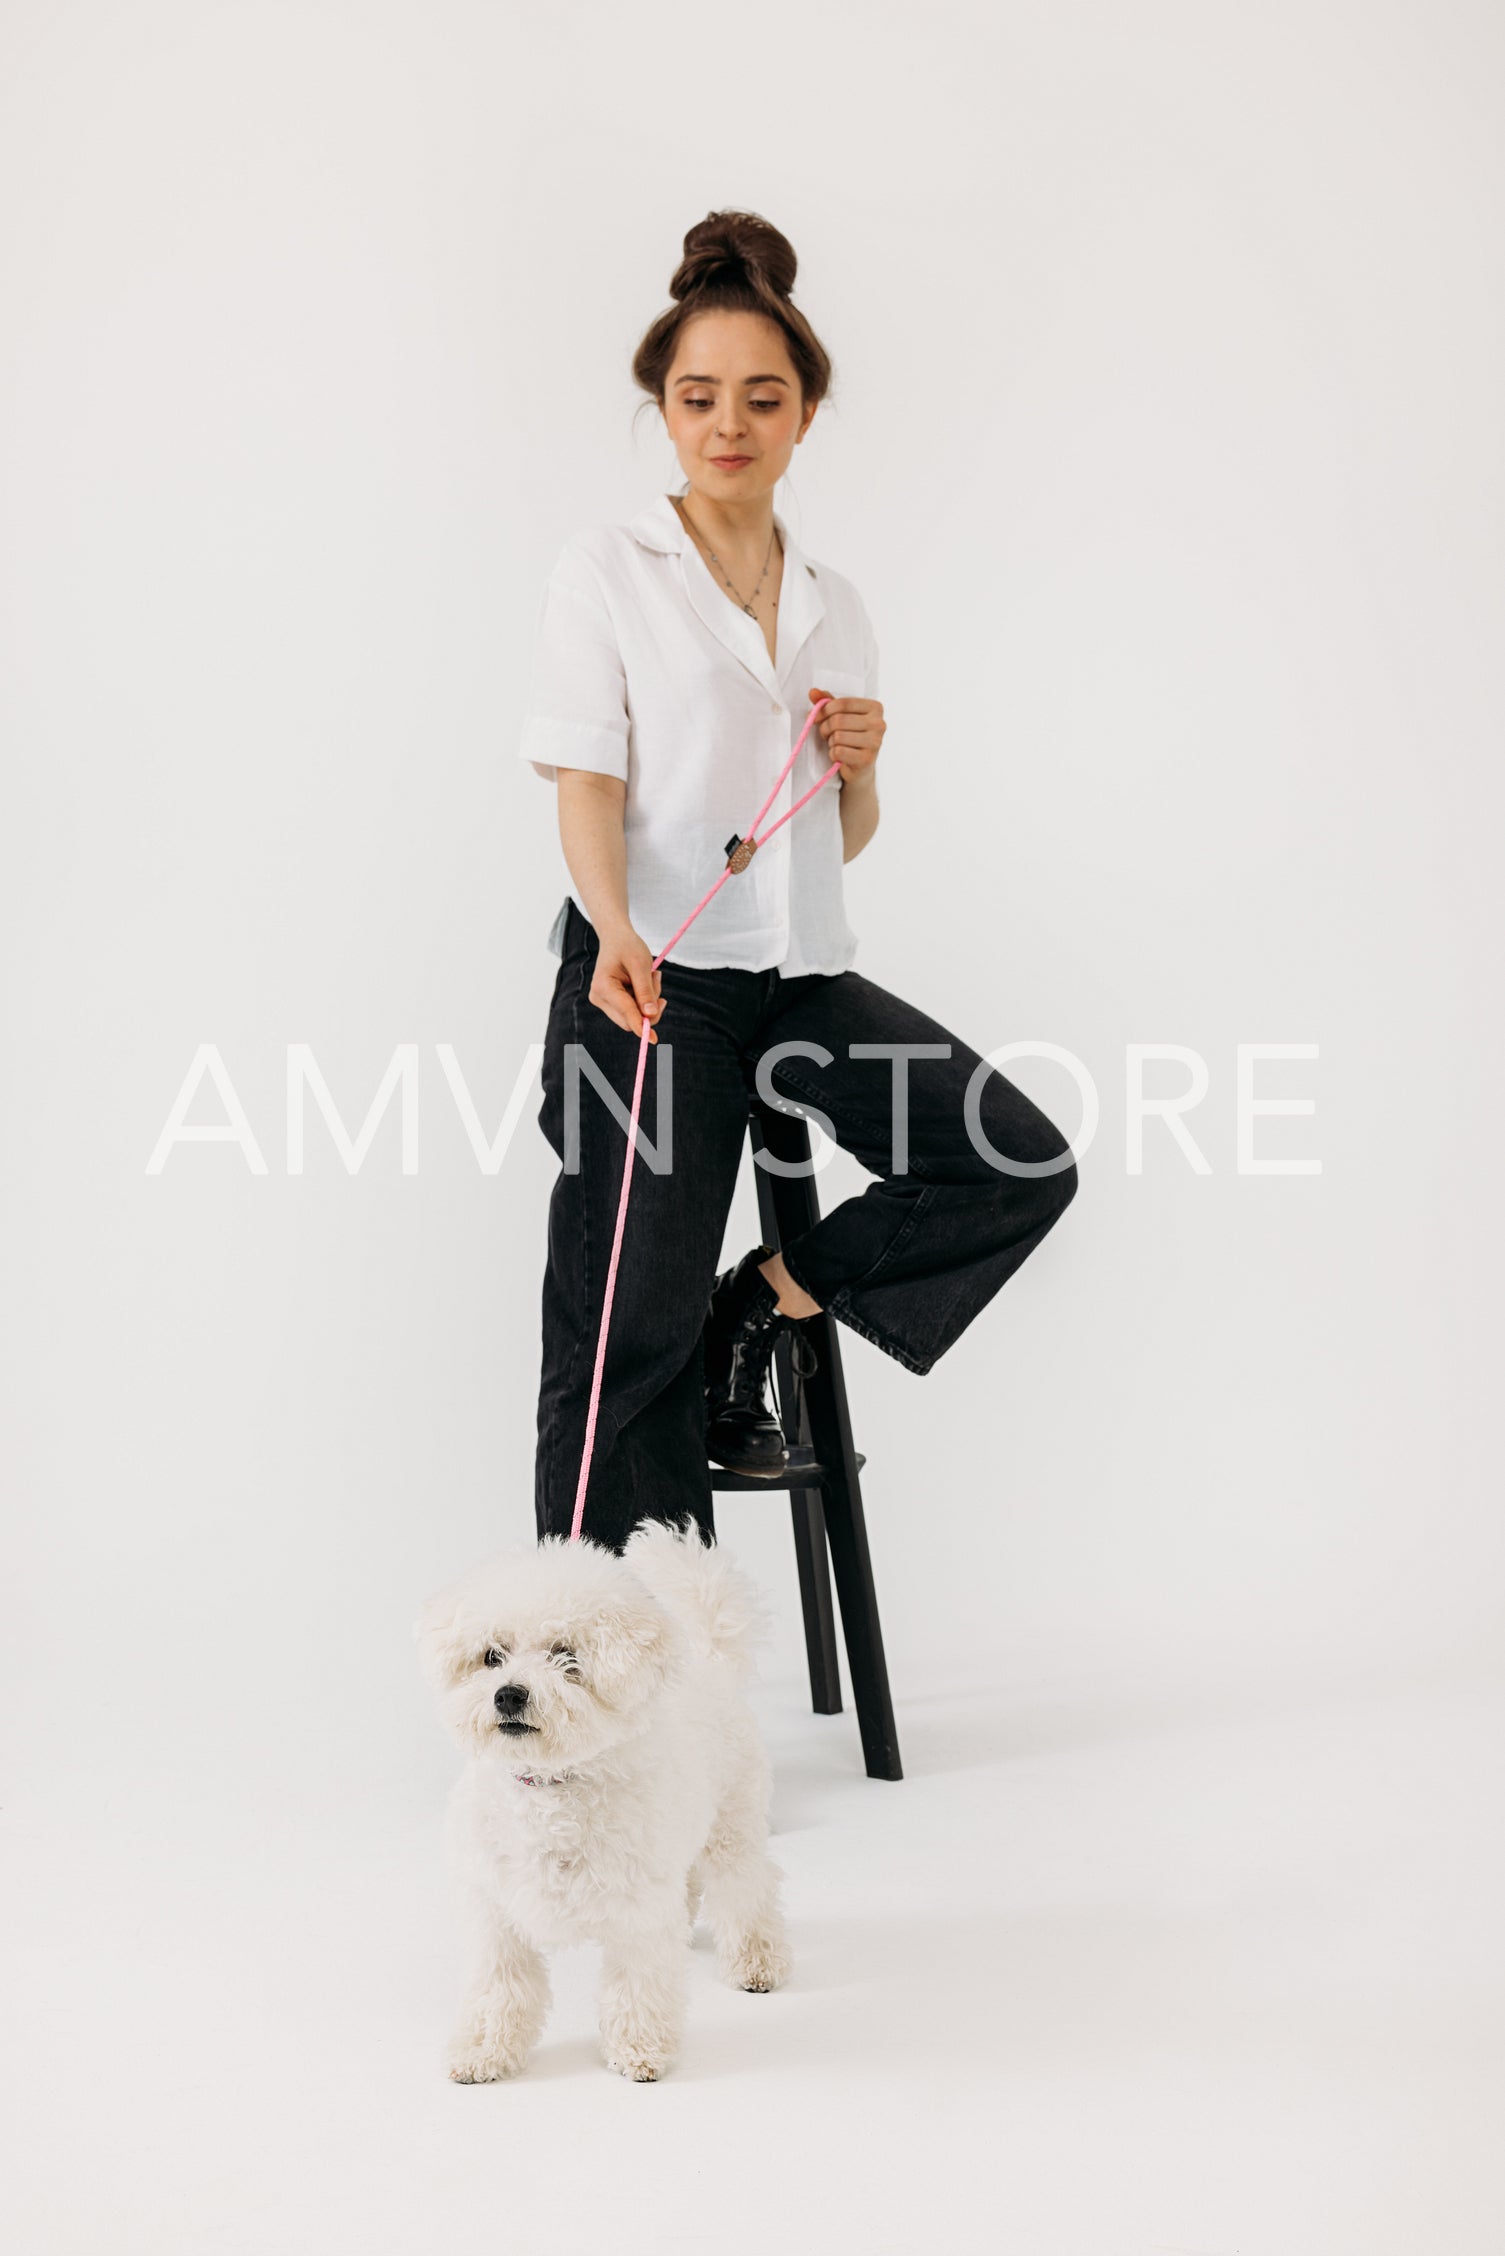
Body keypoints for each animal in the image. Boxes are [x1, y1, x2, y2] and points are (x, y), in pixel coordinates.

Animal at [412, 1516, 789, 2075]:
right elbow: (497, 1990)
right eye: (491, 1656)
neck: (551, 1787)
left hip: (732, 1826)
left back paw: (757, 1962)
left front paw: (640, 2049)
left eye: (566, 1656)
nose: (509, 1694)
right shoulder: (495, 1912)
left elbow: (637, 1984)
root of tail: (710, 1661)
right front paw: (483, 2052)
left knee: (747, 1891)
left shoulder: (638, 1912)